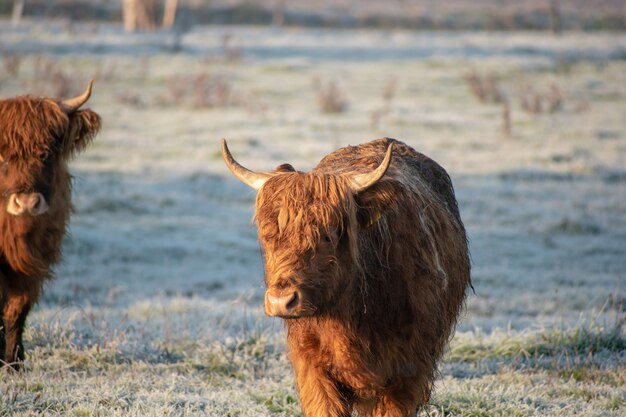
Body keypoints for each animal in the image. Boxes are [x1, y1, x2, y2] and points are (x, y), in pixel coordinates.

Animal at [0, 83, 100, 368]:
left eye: (46, 153)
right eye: (2, 155)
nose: (26, 202)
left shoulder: (35, 262)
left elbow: (17, 311)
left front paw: (14, 363)